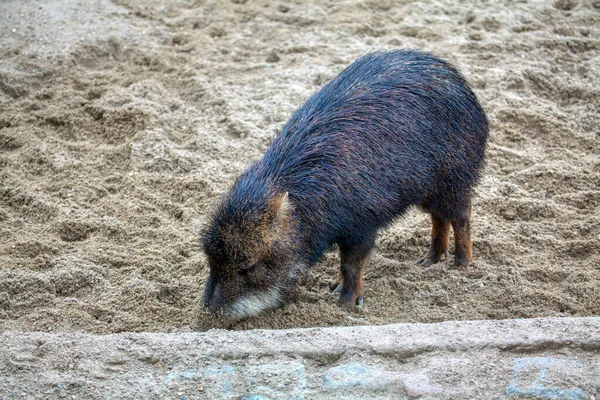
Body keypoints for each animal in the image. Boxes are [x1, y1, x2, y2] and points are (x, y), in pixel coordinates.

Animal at [202, 50, 488, 318]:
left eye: (249, 266)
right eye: (211, 260)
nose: (209, 311)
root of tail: (466, 88)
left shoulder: (364, 224)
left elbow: (352, 264)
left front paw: (345, 306)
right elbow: (344, 264)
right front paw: (334, 289)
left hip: (454, 179)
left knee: (462, 216)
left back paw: (460, 265)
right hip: (430, 191)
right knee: (439, 218)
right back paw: (427, 262)